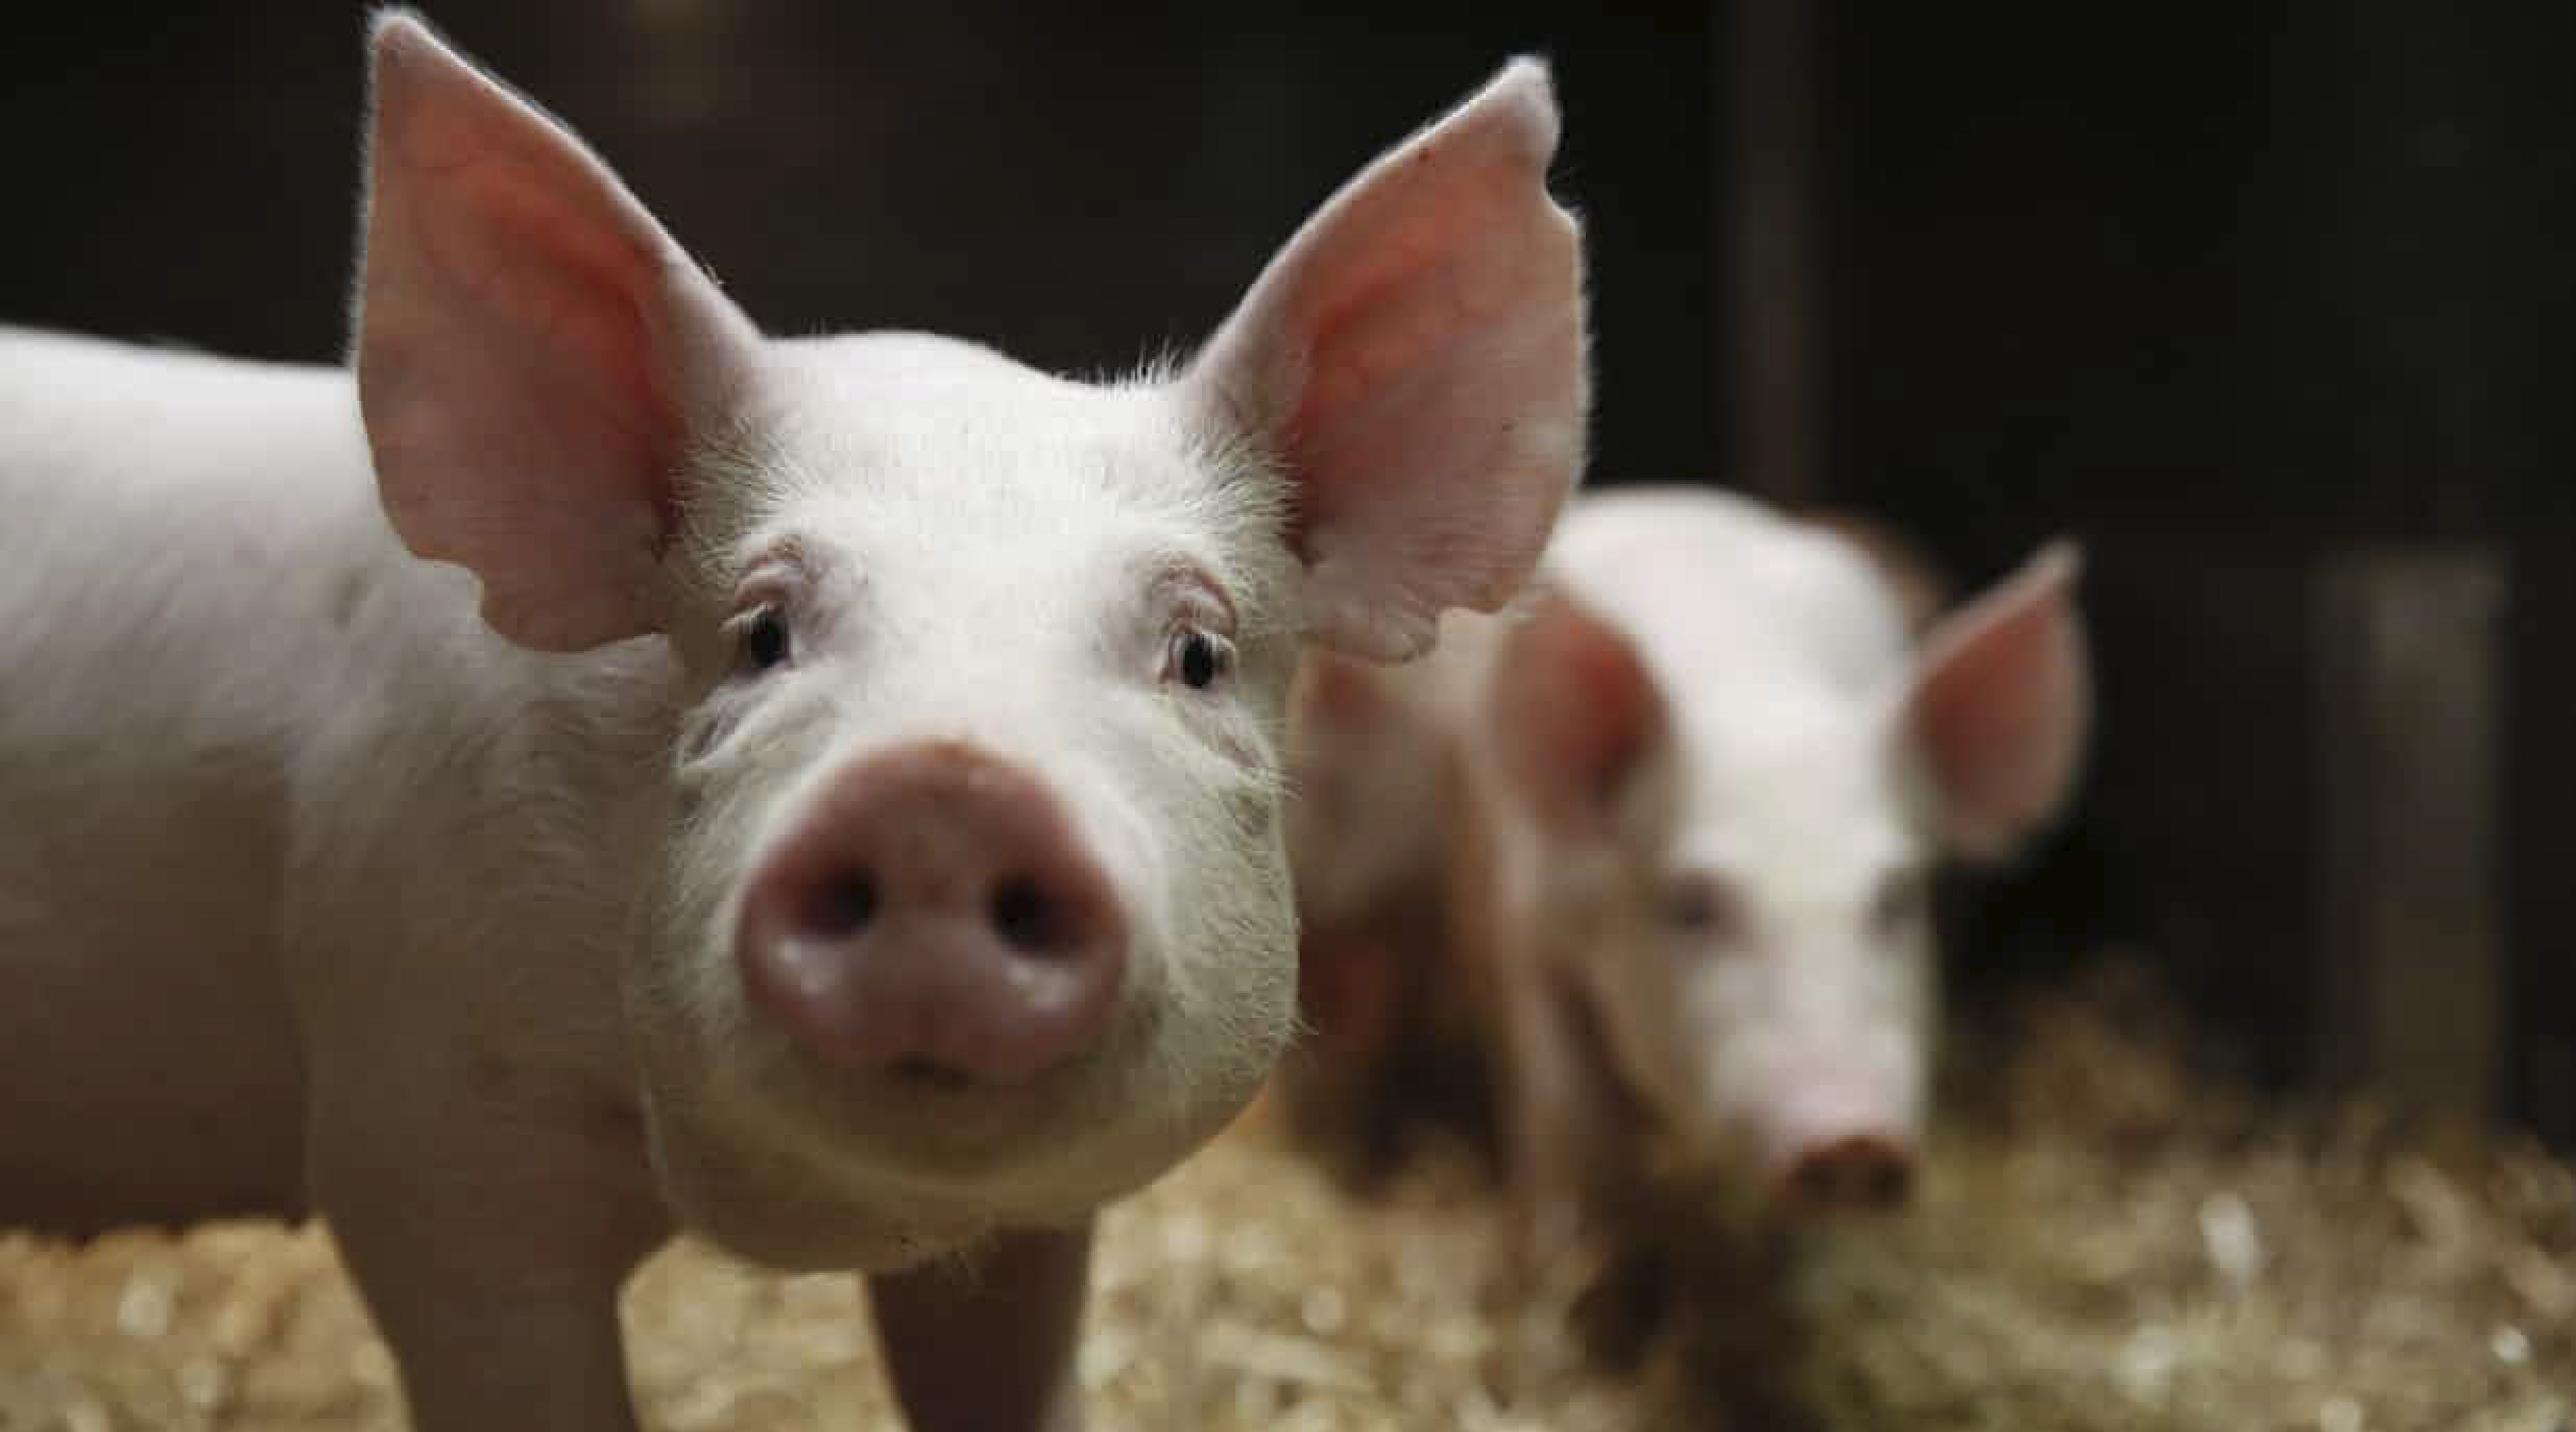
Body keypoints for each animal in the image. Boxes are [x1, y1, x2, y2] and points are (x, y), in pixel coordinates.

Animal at [1279, 486, 2088, 1254]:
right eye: (1693, 903)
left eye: (1898, 897)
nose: (1853, 1139)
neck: (1754, 693)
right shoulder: (1523, 919)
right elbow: (1575, 1124)